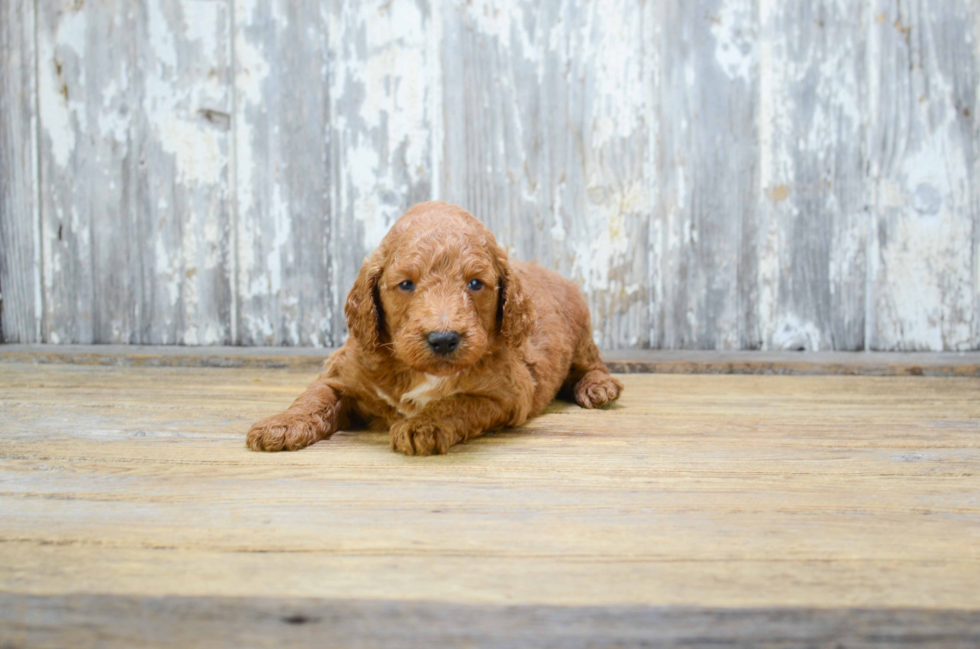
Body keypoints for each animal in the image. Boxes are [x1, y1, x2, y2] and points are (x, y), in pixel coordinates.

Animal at [249, 202, 624, 456]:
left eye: (475, 284)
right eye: (405, 284)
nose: (443, 339)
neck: (417, 371)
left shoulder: (508, 393)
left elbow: (459, 402)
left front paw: (422, 425)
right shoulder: (341, 372)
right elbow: (314, 397)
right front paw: (282, 424)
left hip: (580, 332)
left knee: (591, 364)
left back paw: (598, 387)